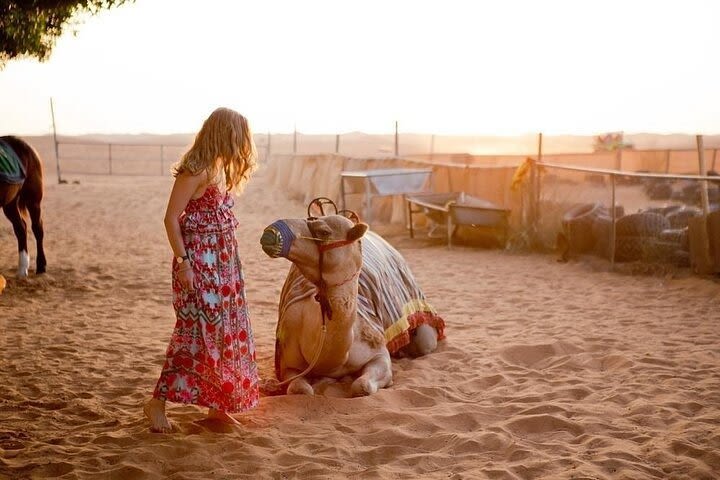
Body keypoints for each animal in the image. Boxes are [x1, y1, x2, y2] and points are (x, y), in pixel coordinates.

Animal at [0, 135, 45, 278]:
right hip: (10, 203)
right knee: (21, 228)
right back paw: (22, 269)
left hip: (33, 201)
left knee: (37, 229)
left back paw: (41, 266)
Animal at [258, 197, 444, 396]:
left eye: (324, 231)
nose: (271, 232)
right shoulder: (287, 363)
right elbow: (300, 389)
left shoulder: (378, 352)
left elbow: (362, 386)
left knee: (425, 342)